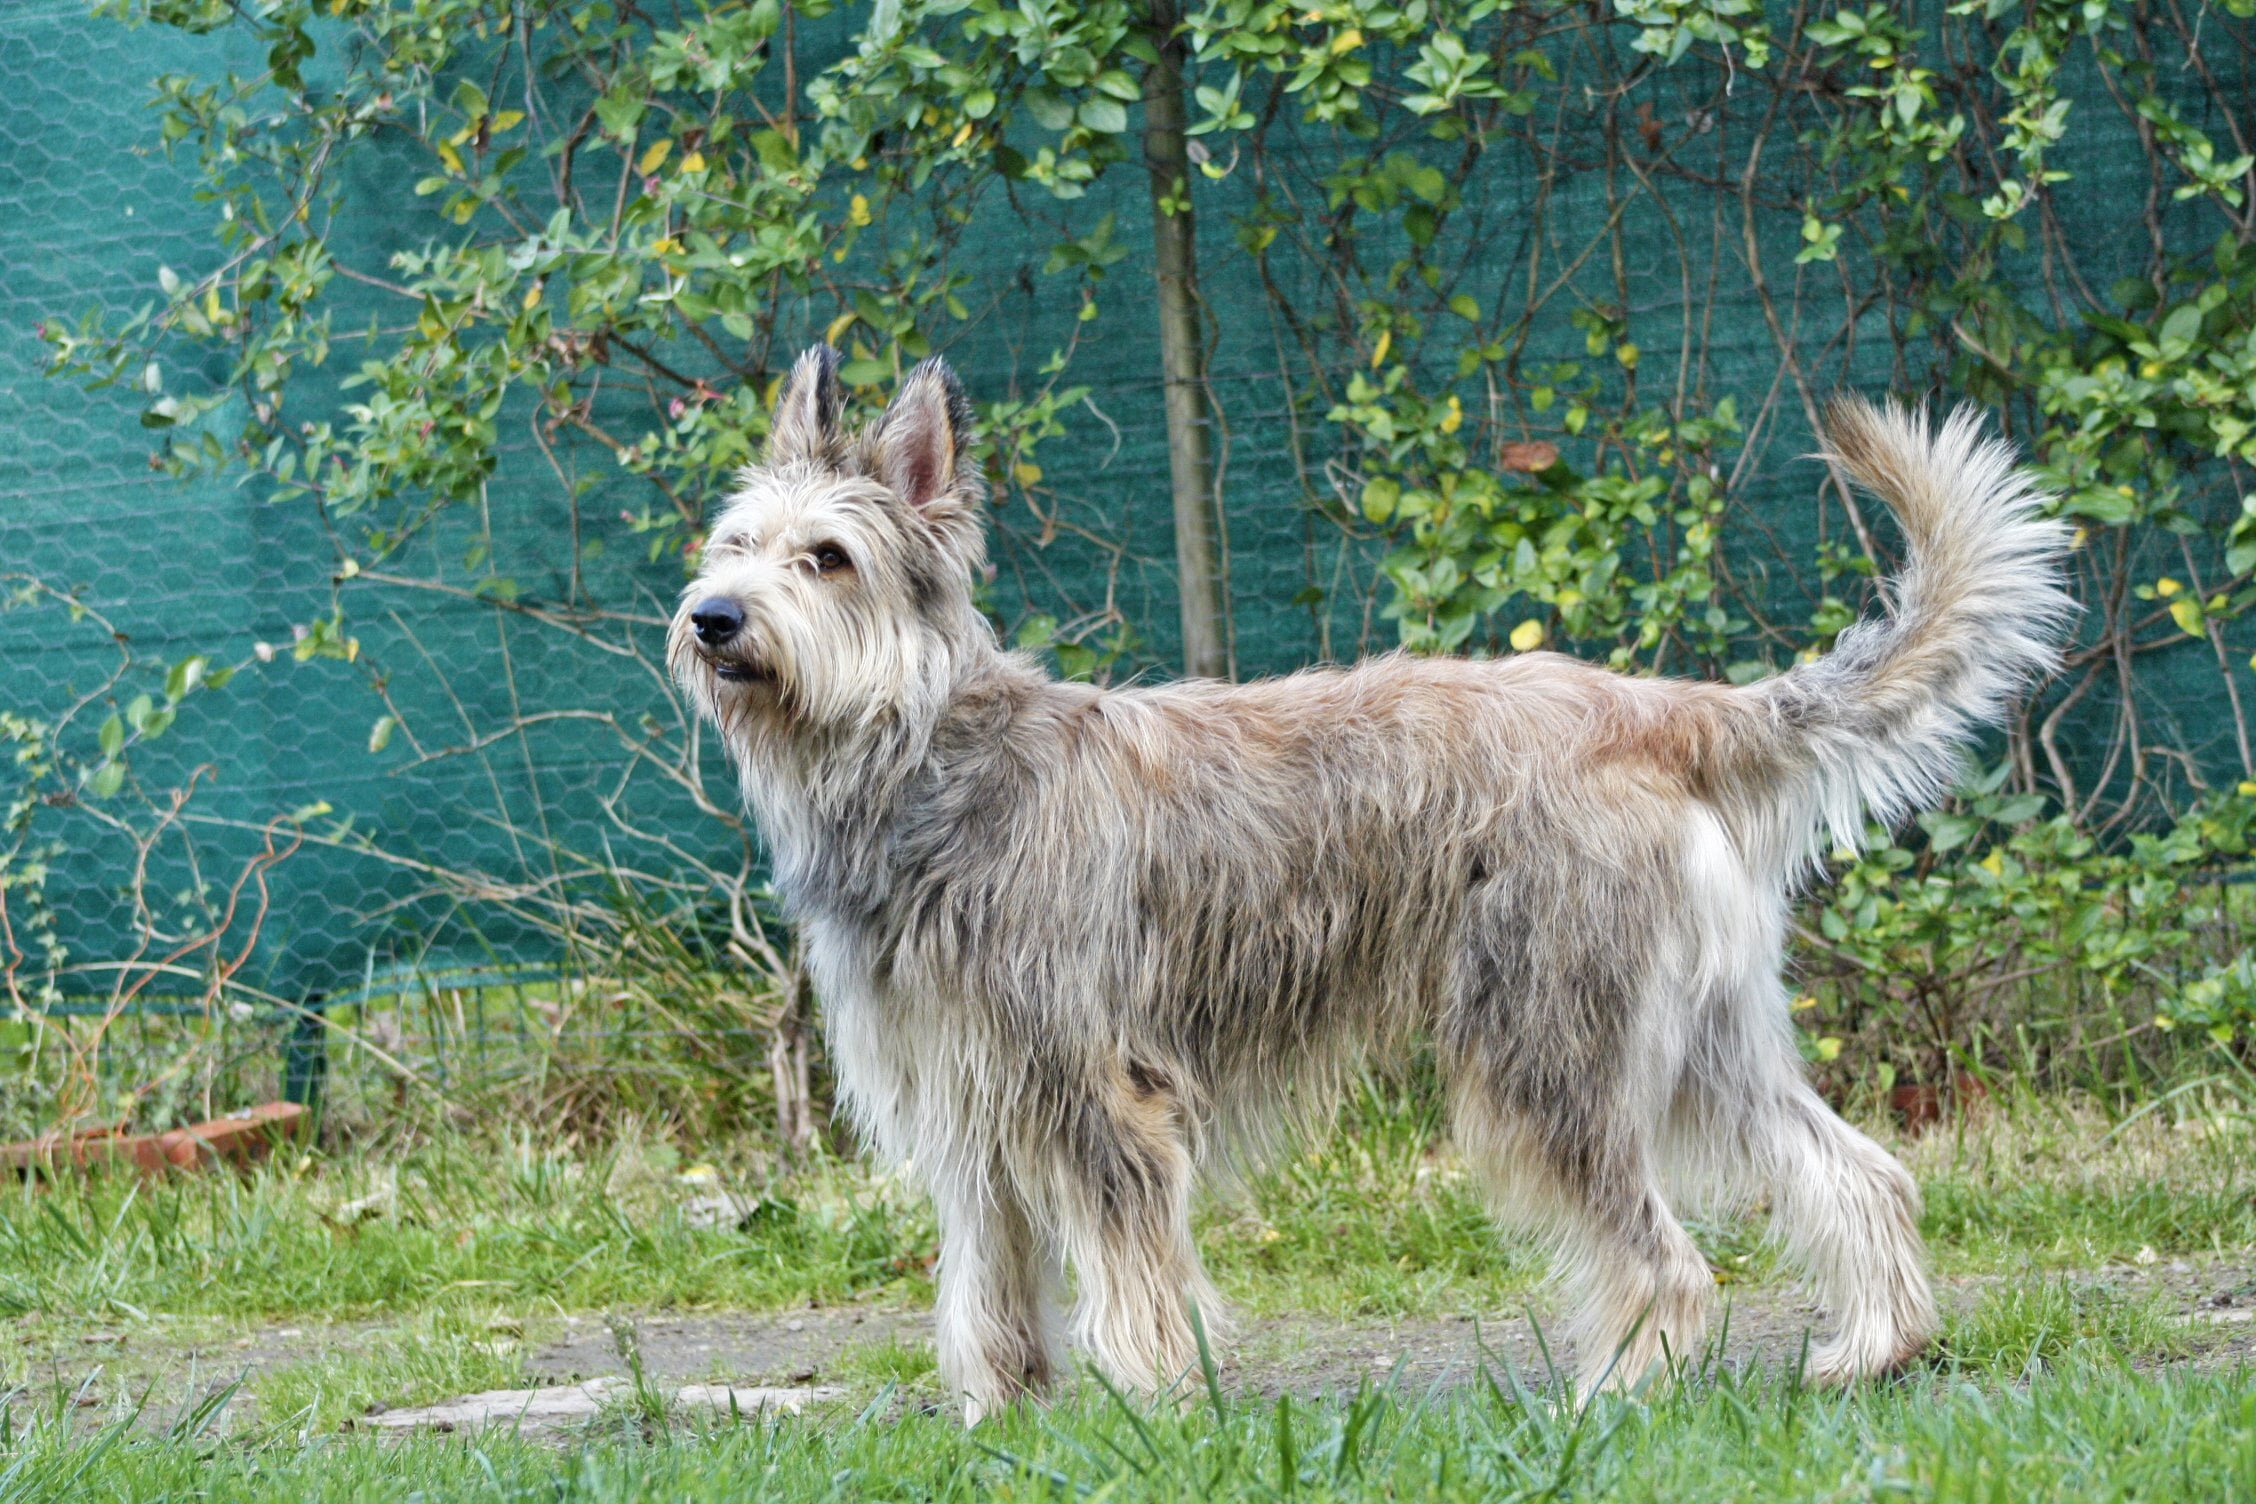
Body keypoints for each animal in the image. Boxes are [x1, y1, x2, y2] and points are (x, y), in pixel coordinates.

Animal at [672, 349, 2075, 1425]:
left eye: (828, 557)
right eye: (732, 545)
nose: (710, 617)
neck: (926, 753)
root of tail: (1661, 707)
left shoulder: (1099, 1098)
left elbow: (1133, 1278)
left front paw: (1154, 1413)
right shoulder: (969, 1108)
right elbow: (986, 1290)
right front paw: (997, 1421)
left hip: (1547, 1052)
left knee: (1666, 1258)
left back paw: (1616, 1398)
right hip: (1696, 1045)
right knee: (1858, 1172)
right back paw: (1873, 1348)